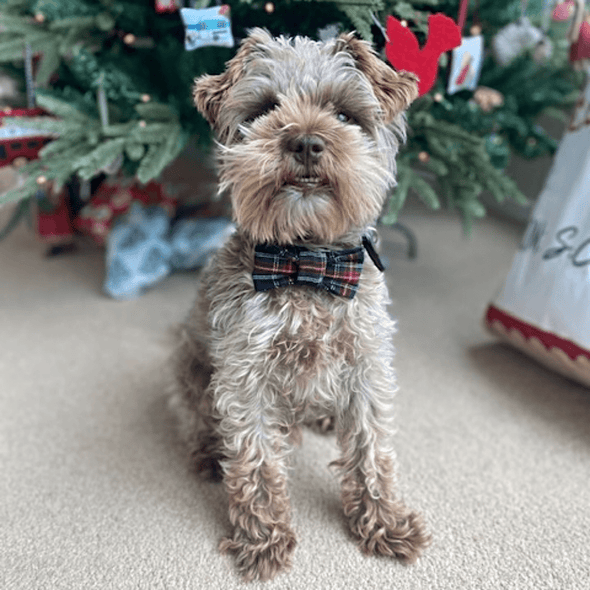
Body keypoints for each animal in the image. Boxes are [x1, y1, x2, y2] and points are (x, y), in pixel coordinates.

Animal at [170, 27, 430, 584]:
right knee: (196, 416)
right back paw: (209, 454)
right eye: (266, 107)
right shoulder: (245, 378)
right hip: (188, 363)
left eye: (345, 114)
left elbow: (372, 452)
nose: (306, 141)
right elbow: (256, 464)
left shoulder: (366, 364)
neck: (309, 264)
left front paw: (385, 523)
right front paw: (263, 541)